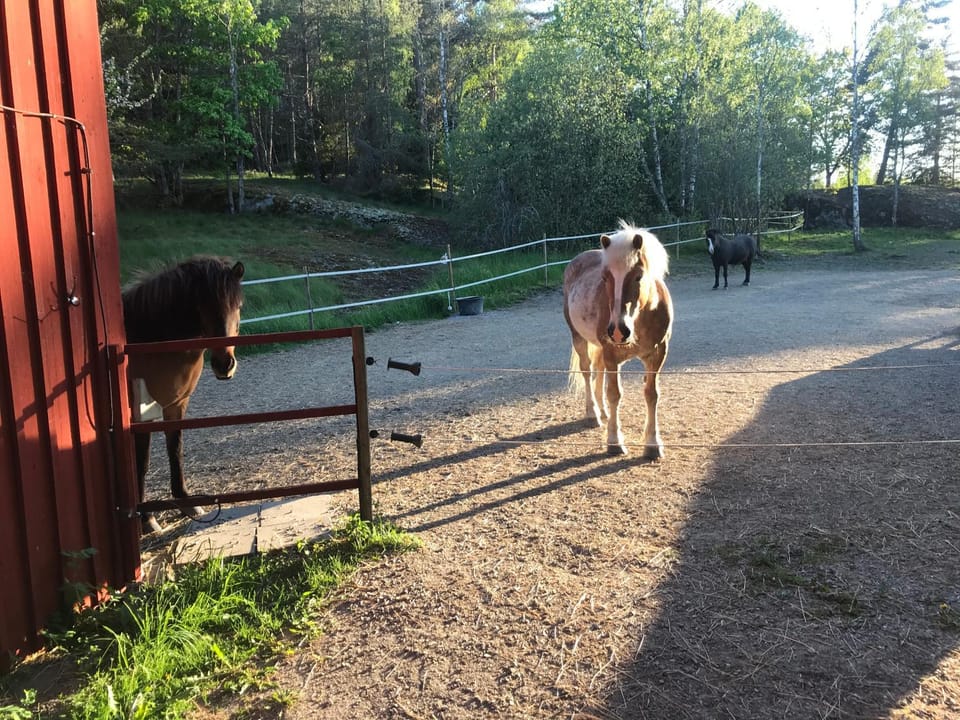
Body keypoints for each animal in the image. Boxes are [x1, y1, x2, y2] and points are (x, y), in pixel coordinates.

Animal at [122, 256, 245, 533]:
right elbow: (141, 462)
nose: (224, 364)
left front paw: (186, 502)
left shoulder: (176, 404)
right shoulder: (140, 414)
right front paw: (147, 518)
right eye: (201, 307)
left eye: (238, 306)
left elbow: (175, 449)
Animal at [563, 221, 673, 457]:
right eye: (605, 277)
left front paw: (652, 443)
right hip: (579, 338)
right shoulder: (612, 354)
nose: (618, 330)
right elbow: (614, 394)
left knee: (598, 369)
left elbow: (652, 394)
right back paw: (593, 413)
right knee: (587, 371)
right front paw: (614, 441)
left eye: (638, 276)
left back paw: (603, 411)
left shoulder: (658, 354)